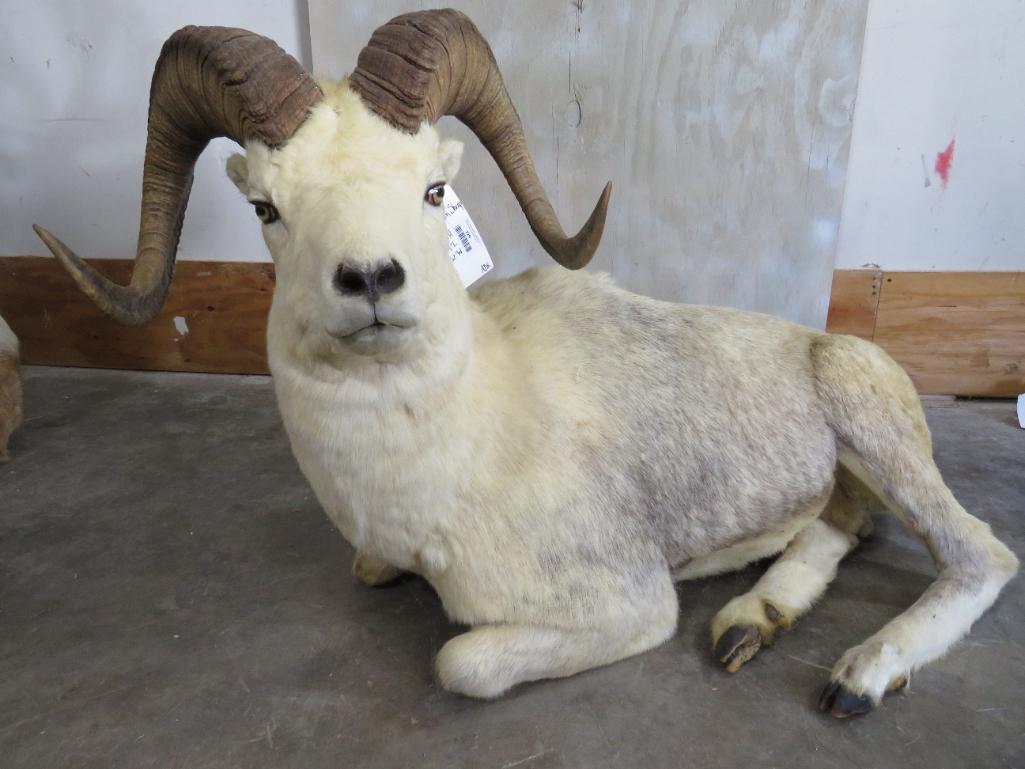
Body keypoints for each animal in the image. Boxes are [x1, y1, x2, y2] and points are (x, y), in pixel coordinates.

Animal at [33, 11, 1017, 717]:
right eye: (266, 208)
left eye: (433, 188)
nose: (370, 279)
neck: (451, 453)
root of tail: (830, 348)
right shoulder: (378, 554)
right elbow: (368, 572)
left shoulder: (624, 608)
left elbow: (459, 659)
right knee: (841, 522)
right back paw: (747, 623)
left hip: (873, 422)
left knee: (979, 554)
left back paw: (857, 675)